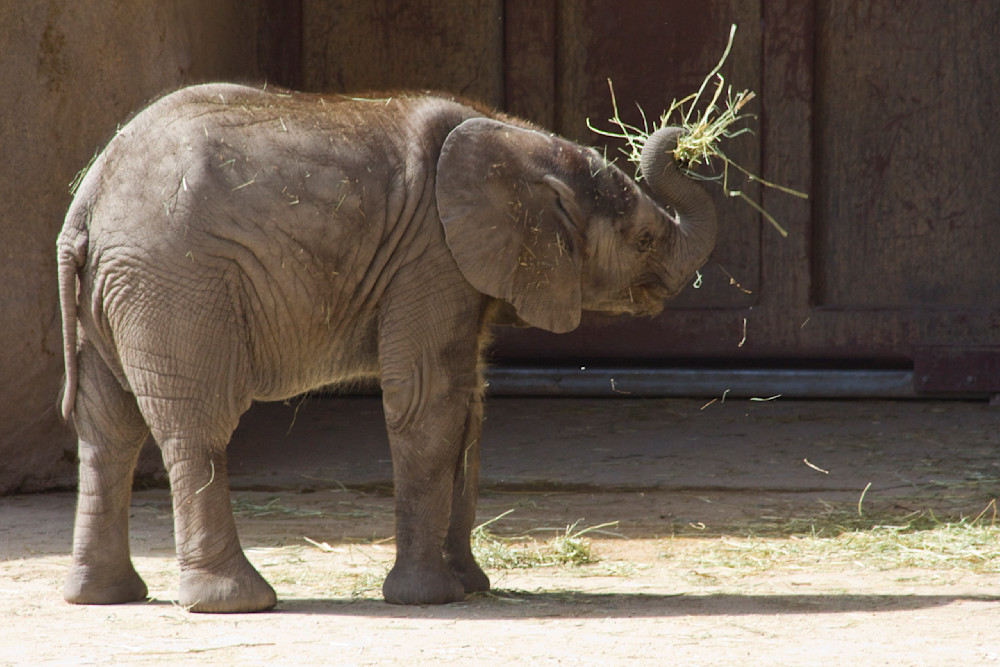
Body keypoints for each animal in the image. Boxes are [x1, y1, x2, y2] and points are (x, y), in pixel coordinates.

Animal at [57, 82, 717, 612]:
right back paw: (237, 603)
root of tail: (89, 200)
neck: (514, 139)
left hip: (117, 292)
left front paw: (470, 586)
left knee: (107, 430)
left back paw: (104, 597)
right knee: (197, 427)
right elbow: (430, 401)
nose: (686, 133)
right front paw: (432, 599)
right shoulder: (431, 253)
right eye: (644, 237)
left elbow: (469, 407)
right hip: (178, 286)